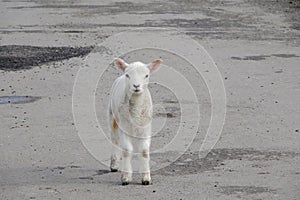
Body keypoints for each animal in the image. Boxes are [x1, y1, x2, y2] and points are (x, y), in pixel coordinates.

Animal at [108, 57, 162, 185]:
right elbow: (127, 150)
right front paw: (126, 178)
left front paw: (146, 178)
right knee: (114, 139)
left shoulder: (146, 128)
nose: (136, 86)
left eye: (146, 75)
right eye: (128, 75)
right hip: (113, 115)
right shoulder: (124, 126)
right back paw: (114, 165)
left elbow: (144, 151)